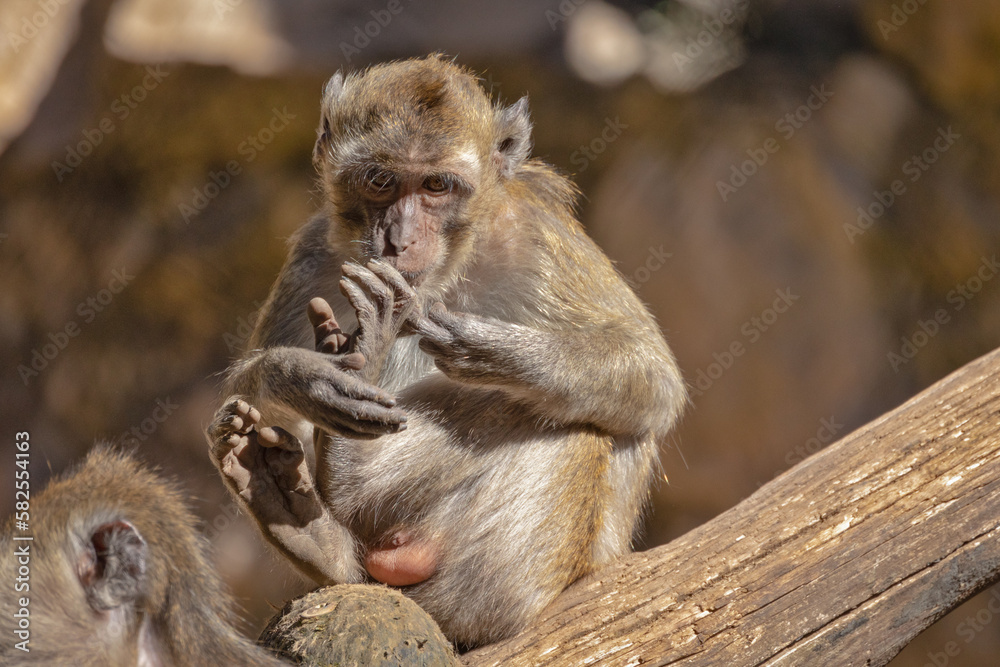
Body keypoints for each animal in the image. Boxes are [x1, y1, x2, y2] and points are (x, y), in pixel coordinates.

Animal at [206, 53, 686, 647]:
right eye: (381, 181)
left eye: (436, 185)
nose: (400, 238)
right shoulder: (312, 252)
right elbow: (244, 393)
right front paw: (302, 377)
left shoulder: (538, 238)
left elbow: (652, 376)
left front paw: (488, 350)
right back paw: (316, 533)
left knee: (577, 431)